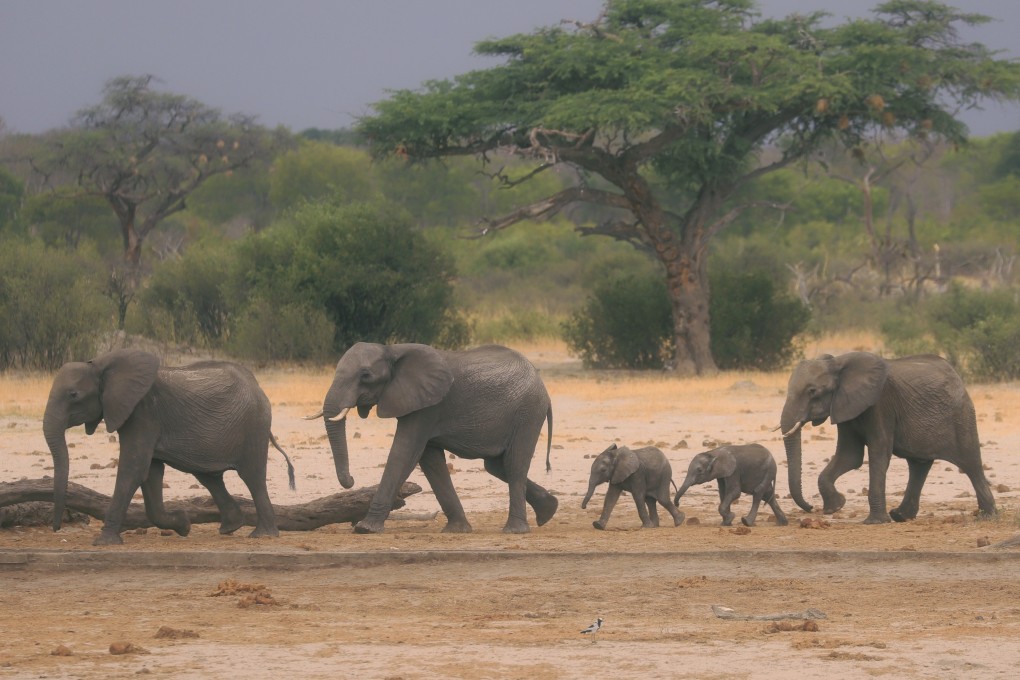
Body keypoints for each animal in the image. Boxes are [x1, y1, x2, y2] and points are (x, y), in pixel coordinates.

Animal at [43, 349, 294, 546]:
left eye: (73, 395)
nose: (56, 528)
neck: (101, 366)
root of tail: (258, 386)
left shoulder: (143, 413)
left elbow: (133, 470)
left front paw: (103, 542)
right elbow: (150, 473)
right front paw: (183, 524)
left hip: (254, 426)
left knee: (252, 477)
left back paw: (263, 535)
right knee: (209, 477)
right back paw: (230, 527)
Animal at [308, 342, 558, 534]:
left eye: (365, 375)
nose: (351, 480)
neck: (392, 350)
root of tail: (543, 387)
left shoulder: (428, 407)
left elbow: (404, 453)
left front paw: (365, 528)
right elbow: (430, 461)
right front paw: (457, 530)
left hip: (527, 413)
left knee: (514, 465)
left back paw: (514, 530)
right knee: (497, 466)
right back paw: (548, 511)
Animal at [779, 352, 995, 524]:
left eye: (812, 391)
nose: (810, 508)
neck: (839, 362)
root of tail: (957, 376)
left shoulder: (880, 404)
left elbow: (878, 452)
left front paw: (874, 522)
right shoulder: (845, 406)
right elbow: (850, 456)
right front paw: (836, 506)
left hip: (961, 415)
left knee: (971, 463)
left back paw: (988, 515)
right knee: (919, 465)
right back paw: (900, 516)